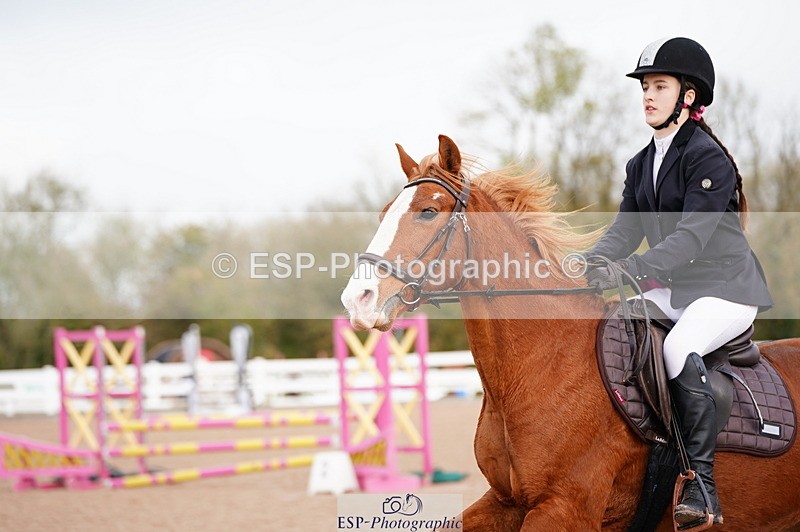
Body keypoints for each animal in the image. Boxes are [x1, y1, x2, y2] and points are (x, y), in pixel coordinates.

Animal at [340, 134, 800, 530]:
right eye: (384, 213)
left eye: (428, 212)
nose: (357, 300)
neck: (536, 367)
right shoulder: (504, 501)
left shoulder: (564, 507)